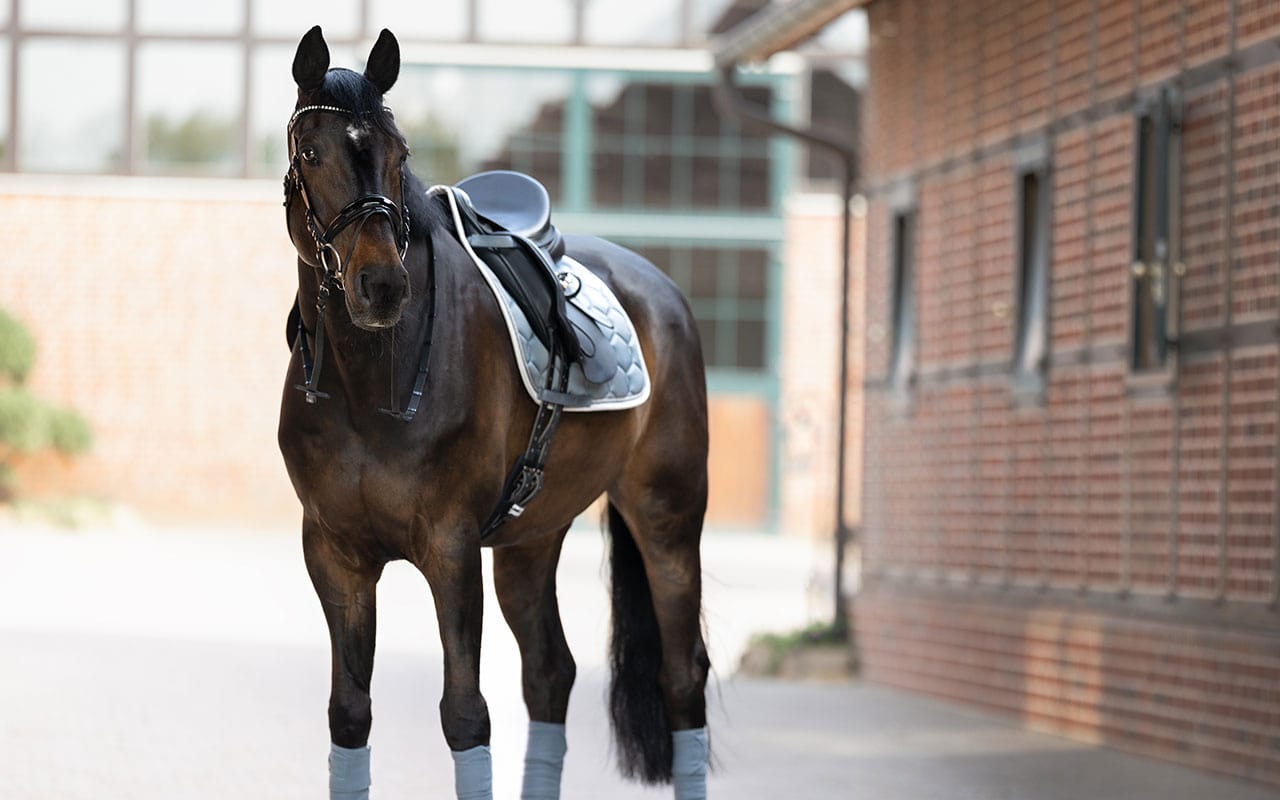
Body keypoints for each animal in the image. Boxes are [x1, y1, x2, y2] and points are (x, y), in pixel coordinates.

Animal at [277, 24, 711, 798]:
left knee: (682, 678)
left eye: (400, 155)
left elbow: (465, 715)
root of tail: (661, 291)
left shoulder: (449, 550)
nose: (380, 285)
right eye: (311, 154)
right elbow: (349, 714)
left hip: (668, 515)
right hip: (530, 539)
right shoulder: (334, 554)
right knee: (549, 674)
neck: (369, 388)